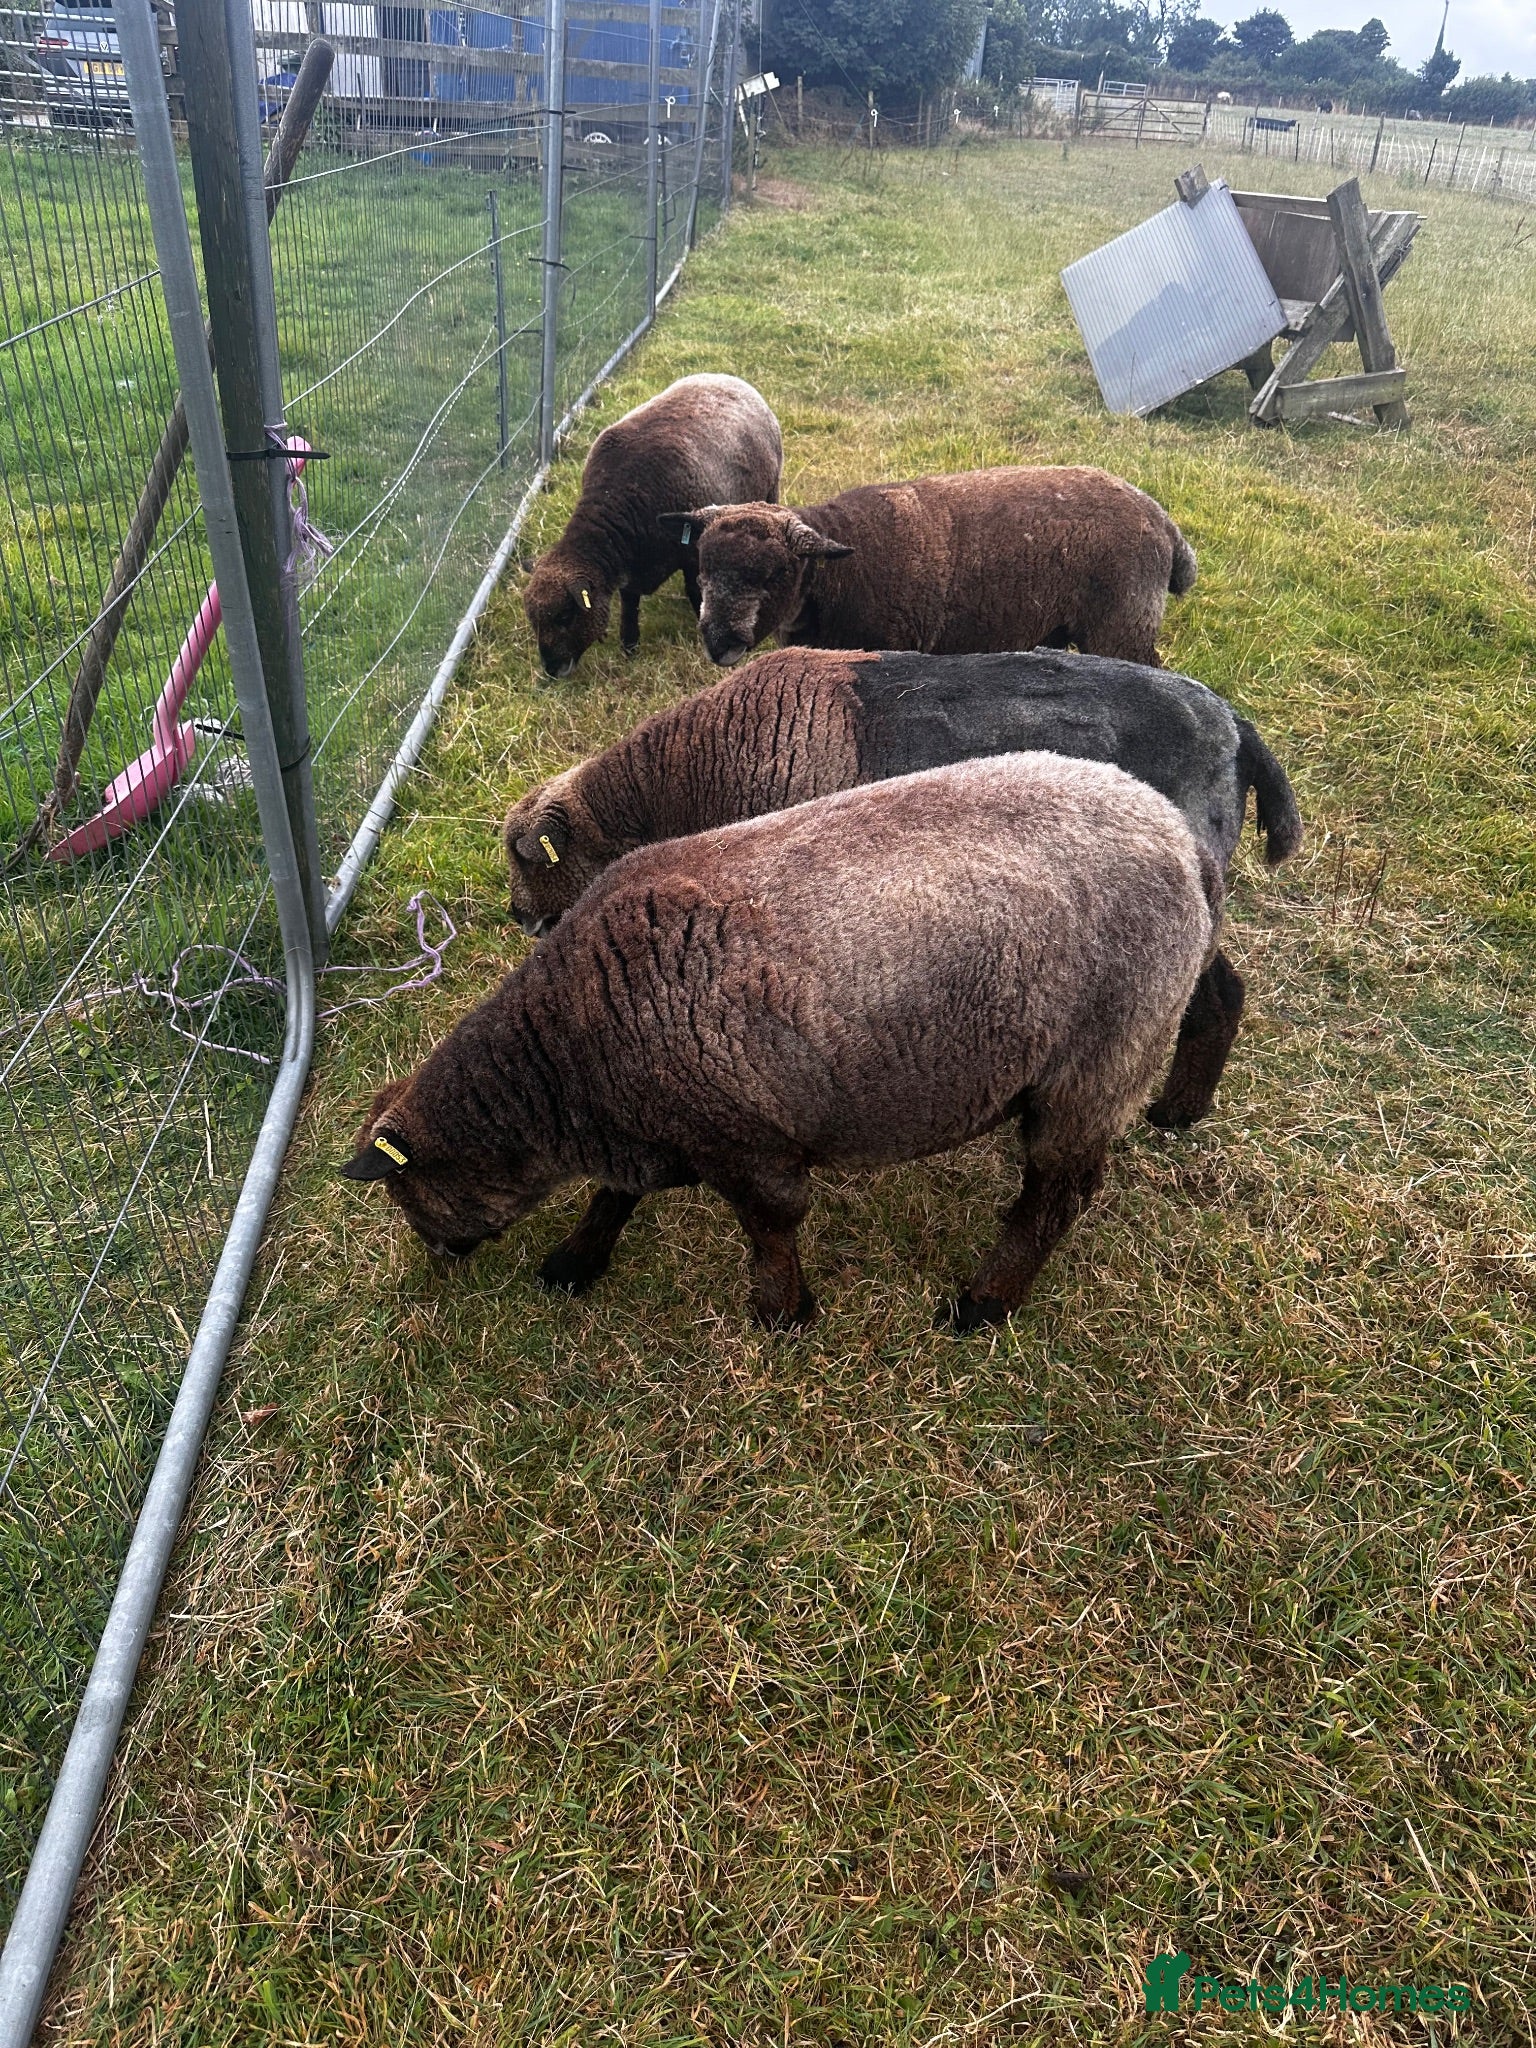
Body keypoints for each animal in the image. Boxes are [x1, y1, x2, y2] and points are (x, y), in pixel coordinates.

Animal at [343, 753, 1220, 1330]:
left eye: (403, 1194)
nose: (437, 1259)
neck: (567, 1062)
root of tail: (1182, 838)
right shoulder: (656, 1124)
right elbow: (612, 1196)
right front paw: (574, 1262)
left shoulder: (747, 1142)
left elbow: (771, 1229)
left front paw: (783, 1314)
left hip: (1098, 1063)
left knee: (1057, 1196)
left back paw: (982, 1304)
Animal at [501, 646, 1302, 1127]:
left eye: (529, 859)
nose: (517, 918)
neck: (692, 771)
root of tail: (1237, 728)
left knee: (1218, 993)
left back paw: (1175, 1113)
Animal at [522, 373, 782, 676]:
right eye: (533, 619)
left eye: (565, 616)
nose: (552, 669)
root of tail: (727, 377)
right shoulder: (632, 565)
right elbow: (629, 603)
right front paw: (629, 647)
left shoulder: (690, 548)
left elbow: (694, 591)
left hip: (771, 489)